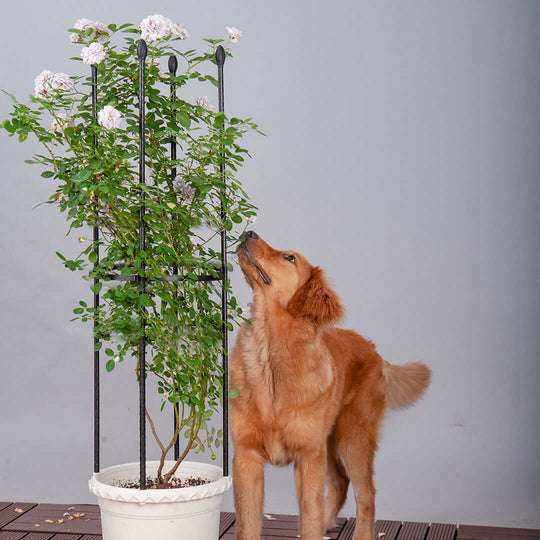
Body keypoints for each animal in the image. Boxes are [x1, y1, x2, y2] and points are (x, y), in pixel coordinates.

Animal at [230, 232, 432, 540]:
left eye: (289, 258)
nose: (249, 233)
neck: (270, 359)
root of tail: (375, 352)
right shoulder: (247, 455)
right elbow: (248, 525)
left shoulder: (308, 456)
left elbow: (308, 519)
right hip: (328, 442)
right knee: (341, 482)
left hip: (353, 438)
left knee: (366, 494)